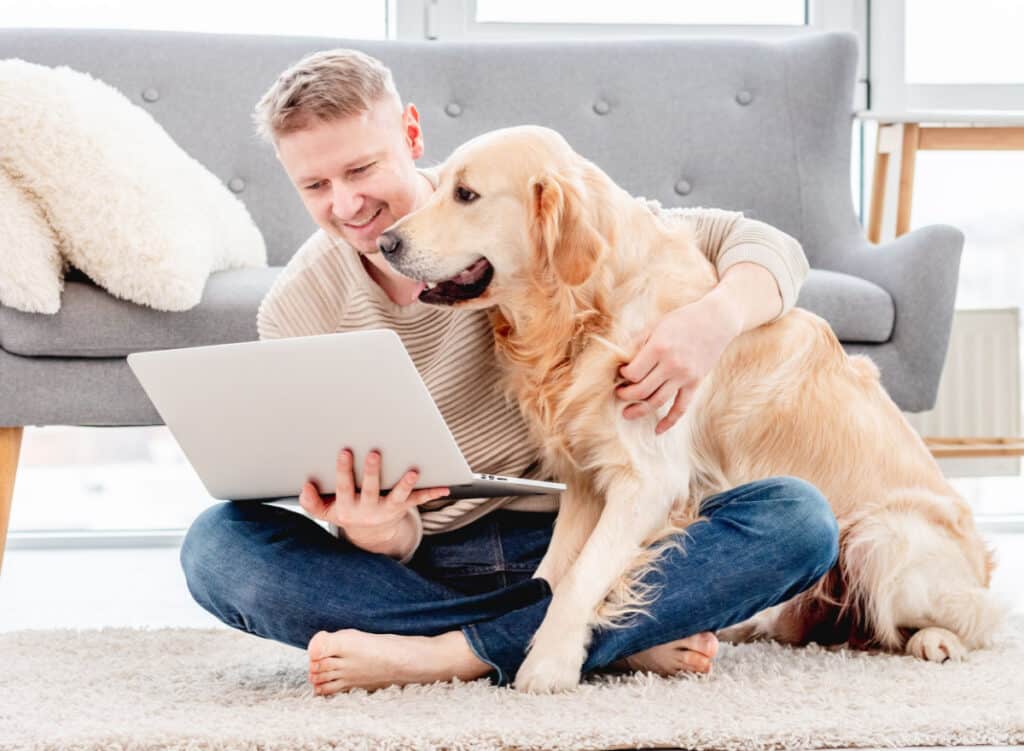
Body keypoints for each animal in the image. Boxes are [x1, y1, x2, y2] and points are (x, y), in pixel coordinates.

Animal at [372, 122, 1003, 692]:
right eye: (438, 187)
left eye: (466, 195)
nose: (385, 243)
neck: (589, 309)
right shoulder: (584, 479)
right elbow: (553, 574)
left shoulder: (649, 480)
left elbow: (581, 577)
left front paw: (548, 665)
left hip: (883, 537)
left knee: (975, 621)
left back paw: (935, 640)